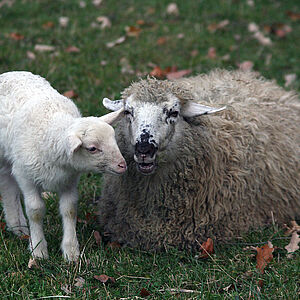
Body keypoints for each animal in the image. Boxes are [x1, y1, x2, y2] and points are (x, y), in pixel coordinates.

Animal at [0, 71, 126, 262]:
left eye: (114, 139)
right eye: (92, 148)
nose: (122, 165)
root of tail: (9, 73)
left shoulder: (69, 179)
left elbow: (70, 209)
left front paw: (71, 252)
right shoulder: (26, 177)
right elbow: (35, 210)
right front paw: (38, 250)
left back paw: (18, 227)